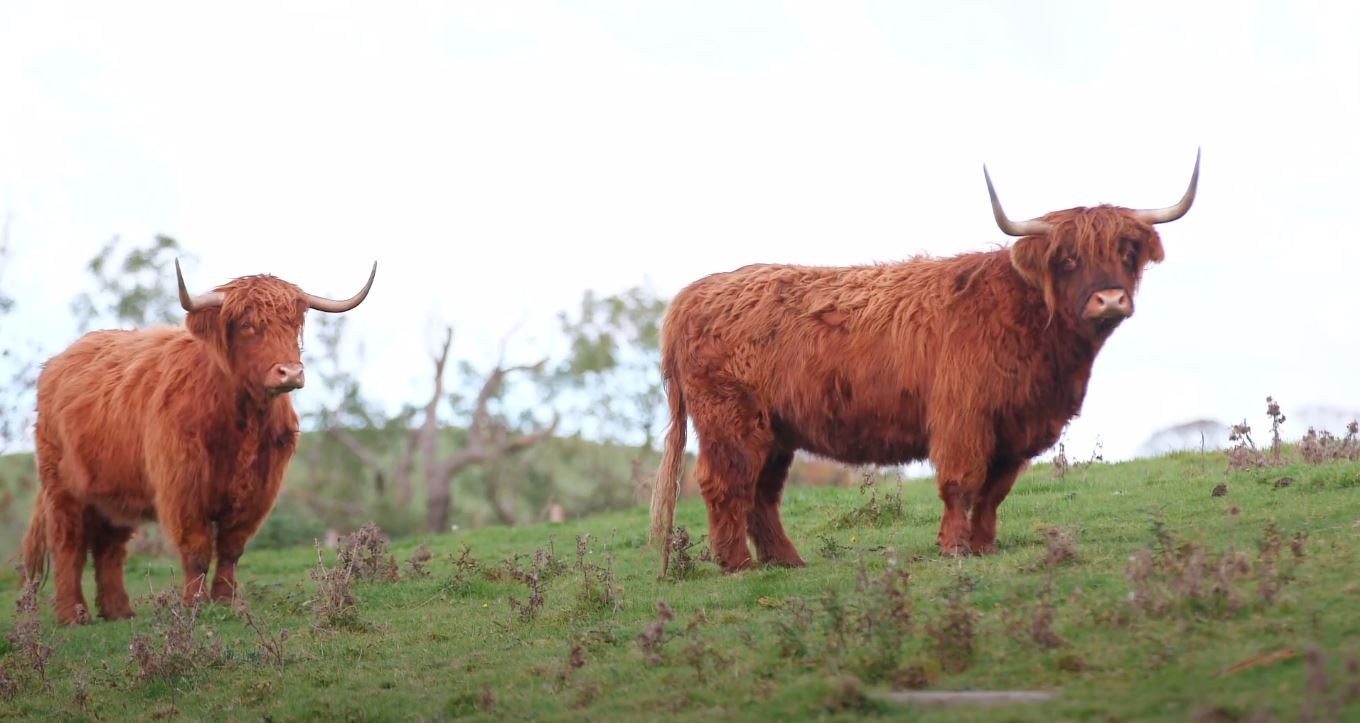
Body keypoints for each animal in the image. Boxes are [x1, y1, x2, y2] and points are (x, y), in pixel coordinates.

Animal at [21, 259, 380, 622]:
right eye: (247, 325)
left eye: (294, 324)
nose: (290, 373)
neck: (243, 423)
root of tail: (56, 362)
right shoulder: (183, 489)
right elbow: (196, 549)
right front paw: (193, 604)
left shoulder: (259, 490)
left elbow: (232, 548)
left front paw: (225, 600)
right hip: (61, 487)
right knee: (68, 545)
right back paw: (73, 615)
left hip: (115, 492)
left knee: (110, 548)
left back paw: (119, 612)